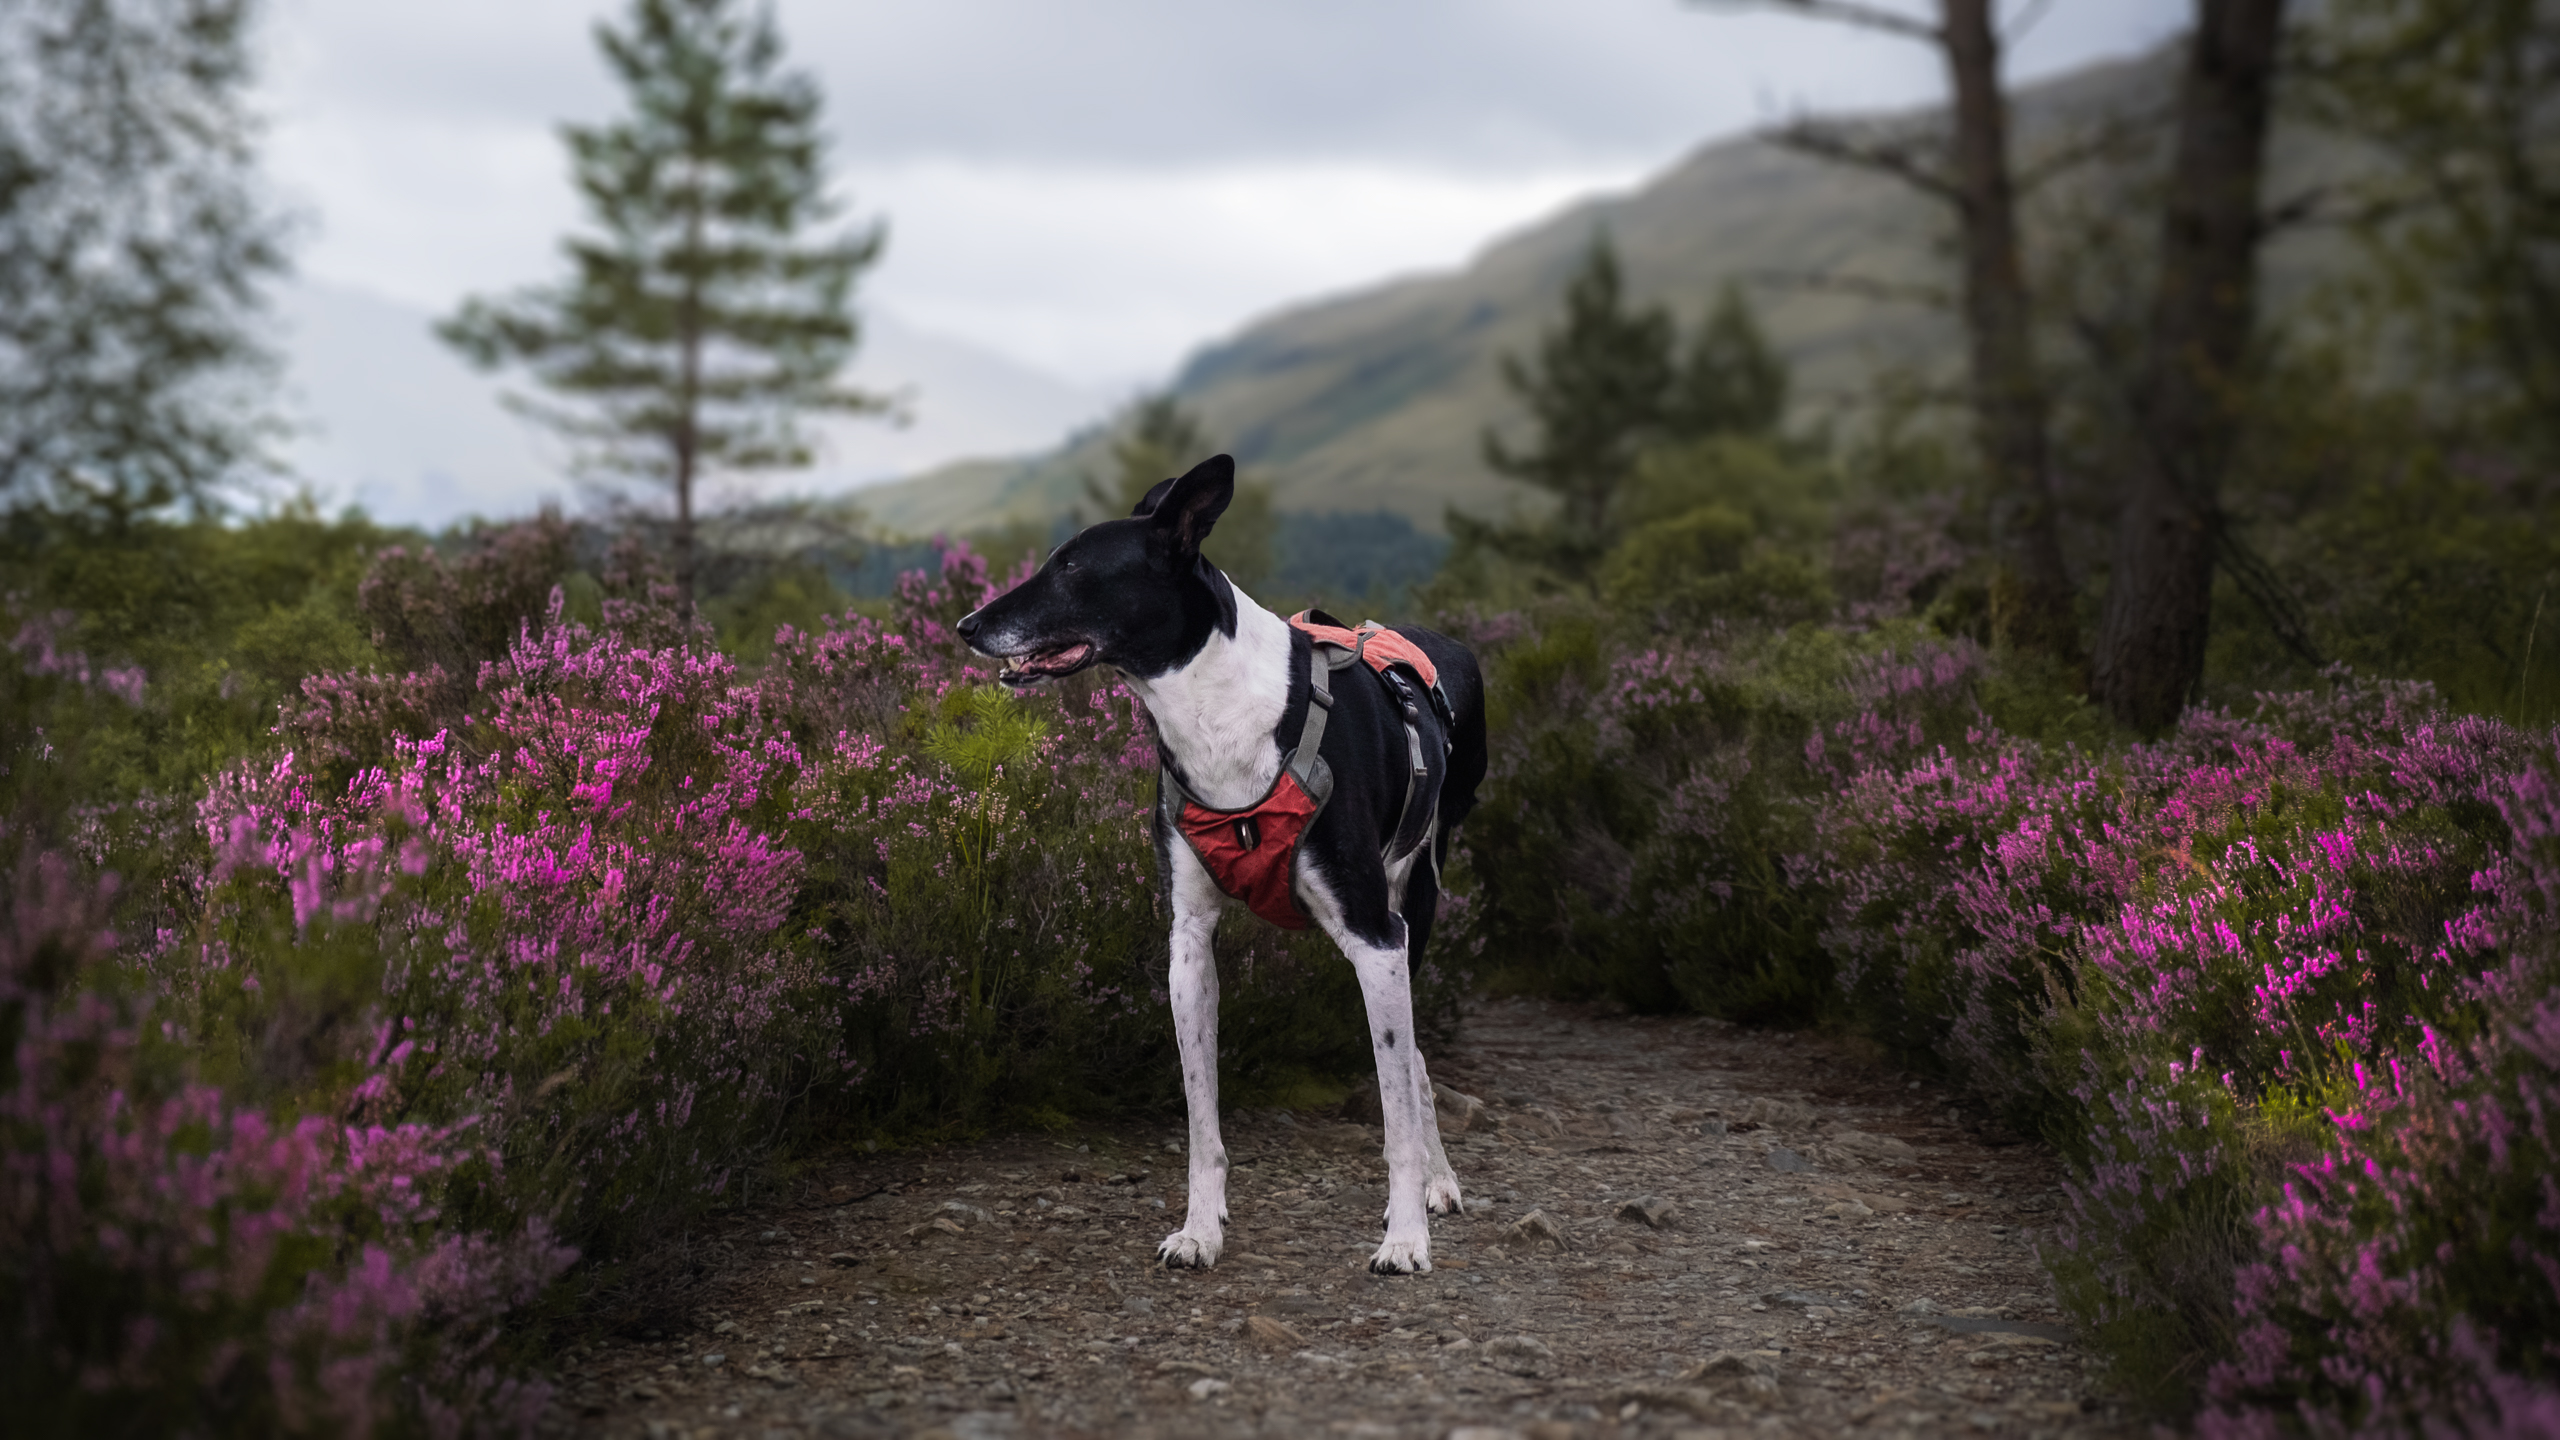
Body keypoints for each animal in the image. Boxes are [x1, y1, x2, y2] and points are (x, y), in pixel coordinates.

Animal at [957, 453, 1484, 1270]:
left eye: (1072, 568)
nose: (967, 627)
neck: (1218, 712)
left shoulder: (1374, 936)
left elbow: (1394, 1112)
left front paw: (1403, 1238)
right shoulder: (1189, 946)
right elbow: (1202, 1118)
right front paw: (1201, 1229)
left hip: (1413, 912)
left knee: (1415, 1064)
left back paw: (1439, 1183)